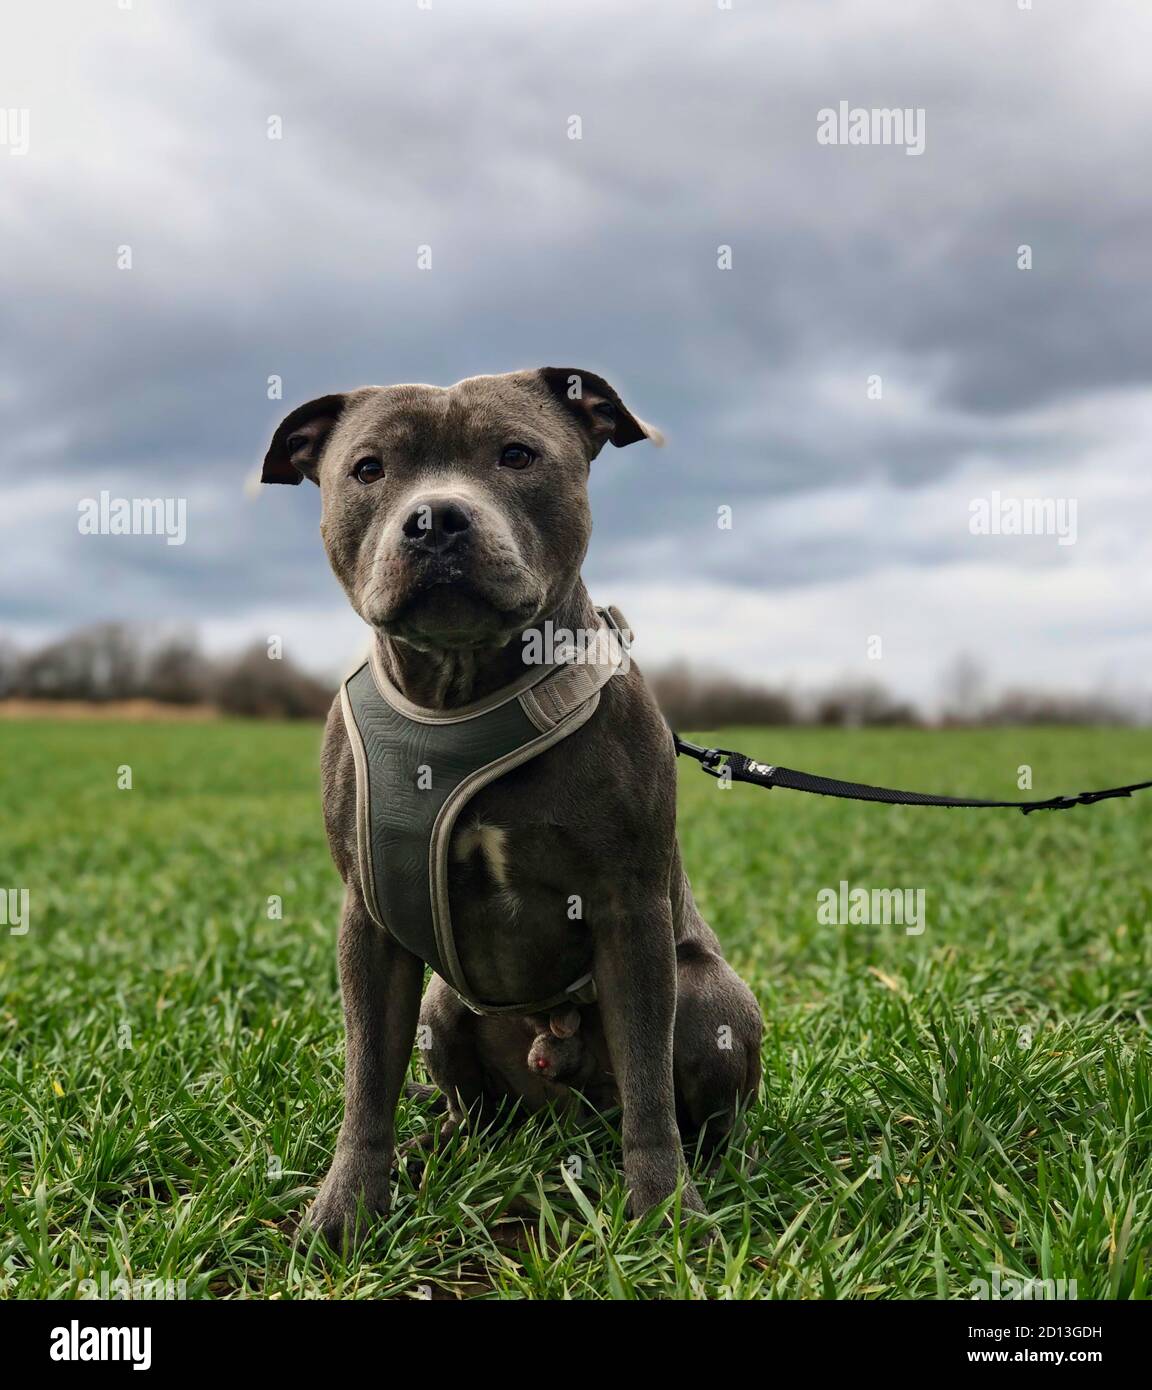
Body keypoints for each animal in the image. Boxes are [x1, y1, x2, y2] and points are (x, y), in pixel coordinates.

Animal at [261, 361, 761, 1251]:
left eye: (518, 455)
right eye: (367, 469)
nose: (435, 519)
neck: (461, 689)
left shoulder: (629, 909)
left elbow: (649, 1086)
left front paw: (666, 1214)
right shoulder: (368, 922)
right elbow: (366, 1079)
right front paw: (345, 1211)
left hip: (710, 996)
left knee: (687, 1101)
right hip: (442, 1009)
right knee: (473, 1109)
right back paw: (442, 1145)